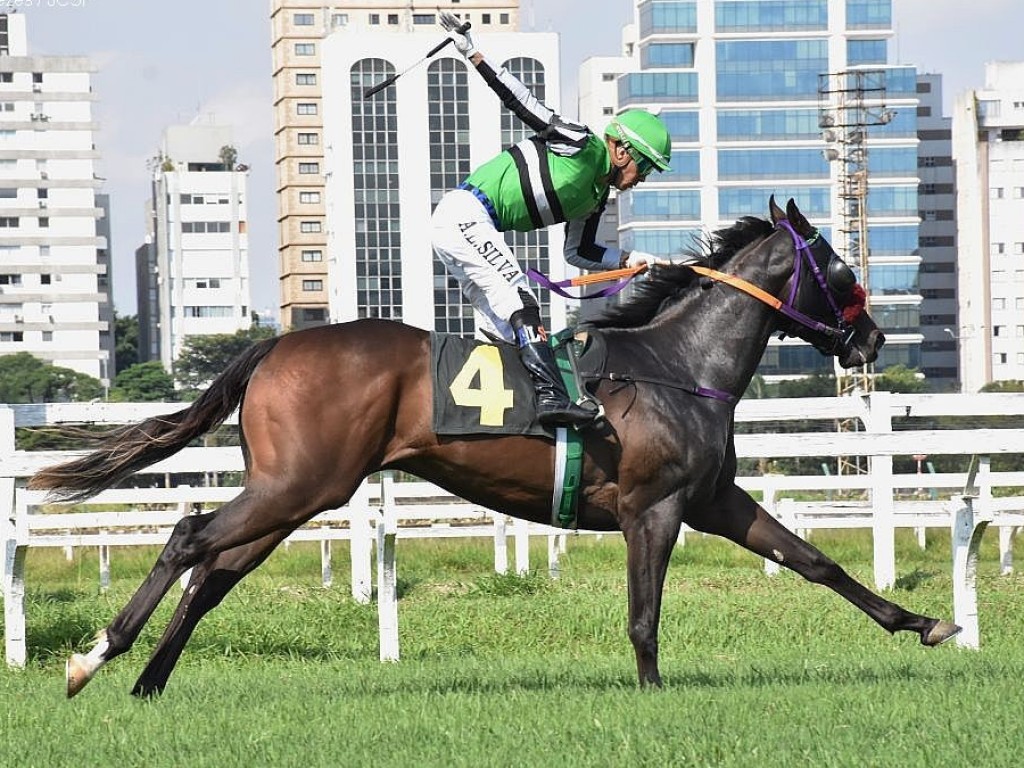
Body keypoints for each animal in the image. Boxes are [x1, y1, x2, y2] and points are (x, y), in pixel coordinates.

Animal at [32, 196, 958, 696]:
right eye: (838, 268)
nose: (874, 338)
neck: (677, 365)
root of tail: (274, 347)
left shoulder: (713, 500)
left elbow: (816, 562)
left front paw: (923, 622)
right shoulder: (654, 509)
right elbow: (645, 612)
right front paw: (653, 690)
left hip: (293, 493)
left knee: (213, 571)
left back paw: (149, 679)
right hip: (301, 486)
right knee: (189, 537)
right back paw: (94, 657)